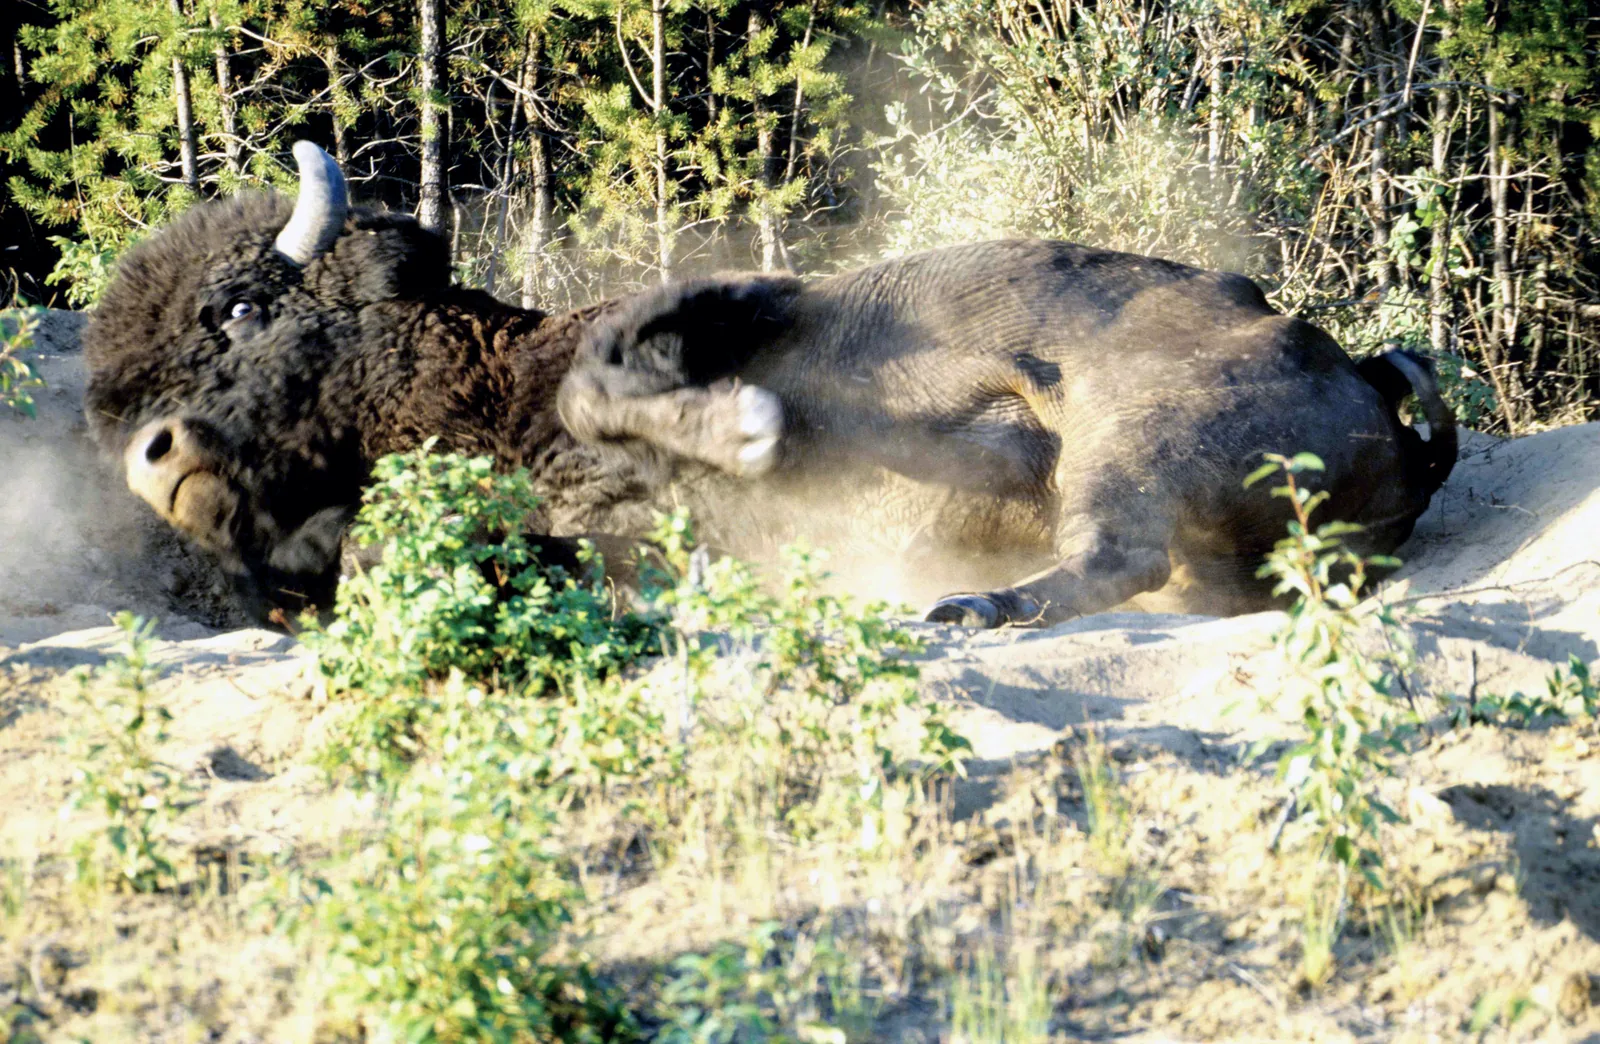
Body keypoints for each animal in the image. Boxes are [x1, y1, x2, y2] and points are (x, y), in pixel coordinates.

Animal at [83, 142, 1455, 626]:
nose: (152, 461)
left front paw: (750, 427)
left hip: (1139, 437)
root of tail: (1364, 378)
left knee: (1114, 549)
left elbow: (628, 387)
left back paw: (965, 606)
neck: (491, 374)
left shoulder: (719, 306)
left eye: (241, 309)